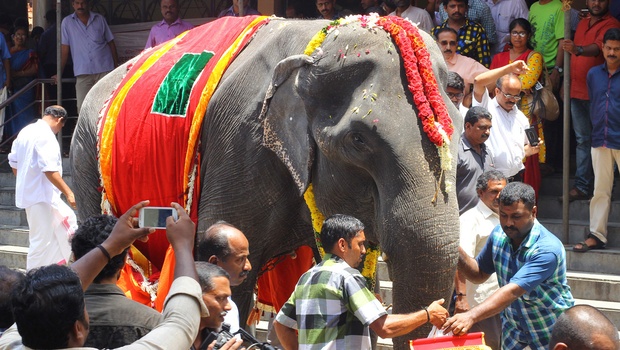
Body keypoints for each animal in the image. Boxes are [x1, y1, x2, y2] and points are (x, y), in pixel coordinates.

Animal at [71, 15, 460, 348]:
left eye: (456, 131)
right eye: (358, 140)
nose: (444, 318)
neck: (312, 47)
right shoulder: (239, 145)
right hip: (84, 159)